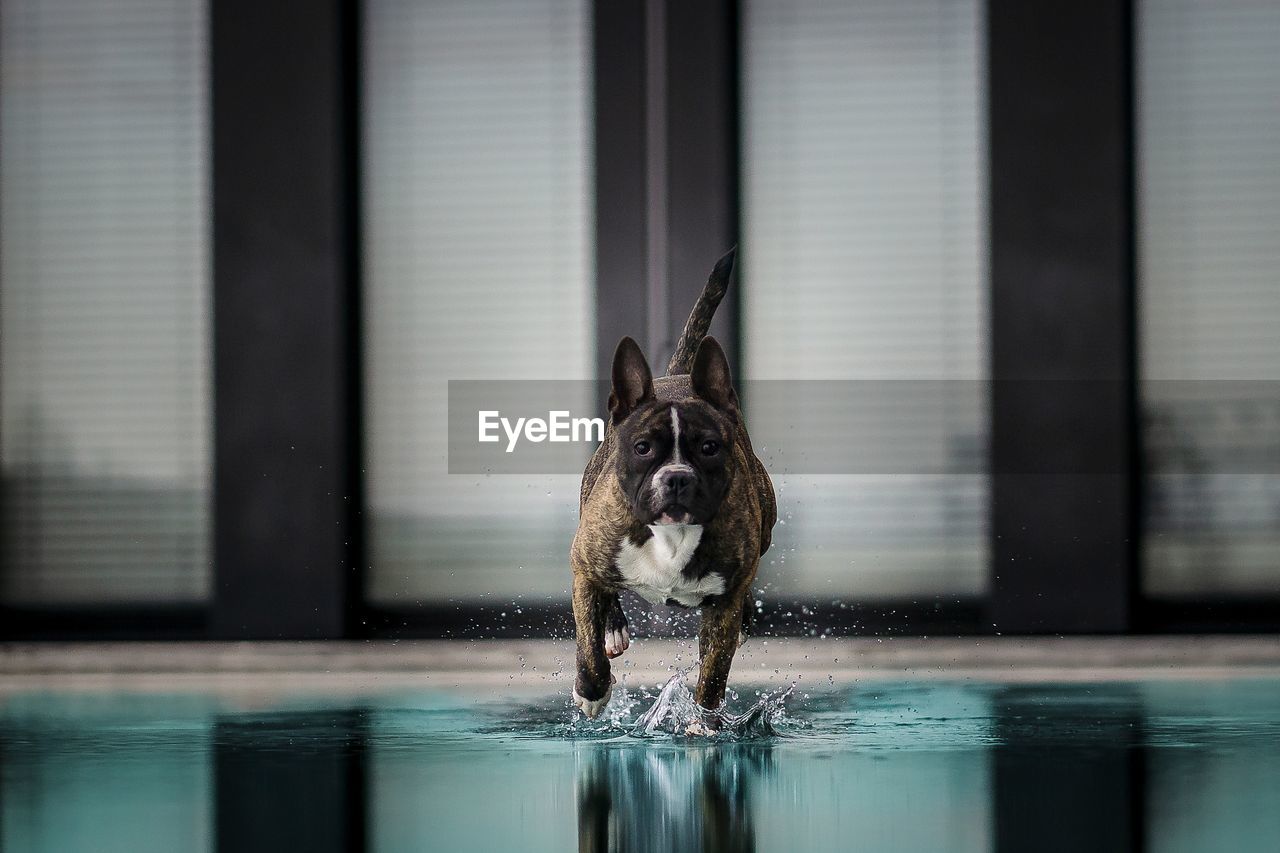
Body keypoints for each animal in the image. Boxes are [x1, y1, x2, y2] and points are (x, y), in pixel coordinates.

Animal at [573, 247, 773, 717]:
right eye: (643, 447)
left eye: (710, 447)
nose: (678, 478)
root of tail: (676, 376)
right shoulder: (583, 564)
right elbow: (588, 647)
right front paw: (592, 690)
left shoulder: (724, 601)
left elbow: (714, 668)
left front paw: (704, 720)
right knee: (604, 604)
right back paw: (613, 631)